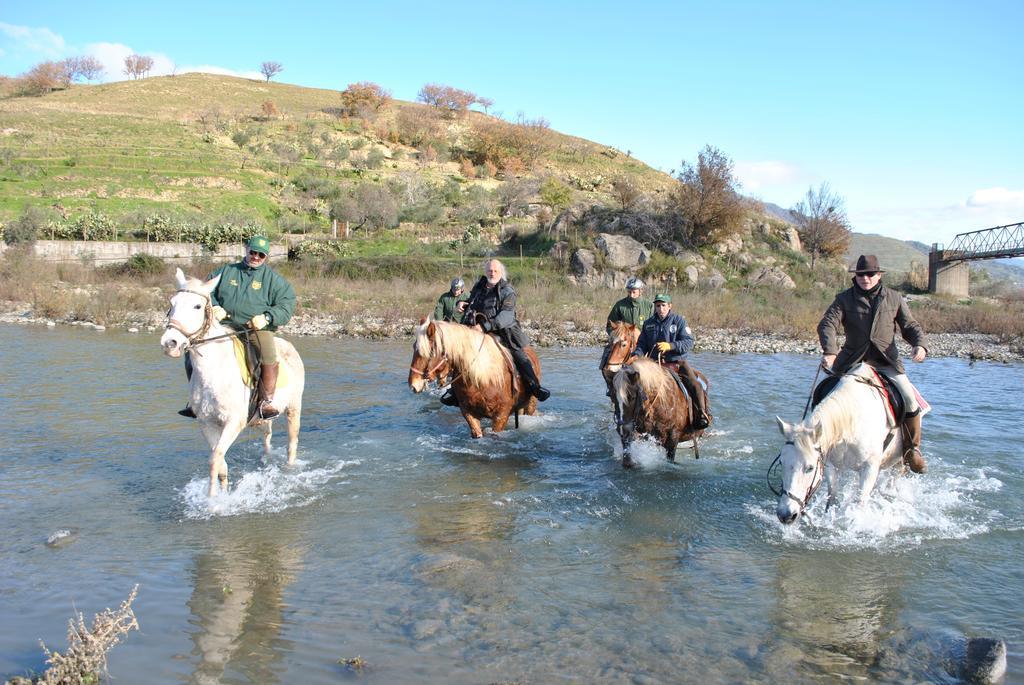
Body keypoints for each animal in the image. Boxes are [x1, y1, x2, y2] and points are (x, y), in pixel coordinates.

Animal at [159, 266, 303, 497]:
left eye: (197, 306)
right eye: (172, 303)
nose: (169, 343)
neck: (214, 373)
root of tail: (288, 345)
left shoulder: (234, 422)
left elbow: (214, 460)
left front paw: (212, 500)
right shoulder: (206, 423)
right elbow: (220, 462)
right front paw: (223, 492)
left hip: (293, 409)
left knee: (292, 444)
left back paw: (289, 470)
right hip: (262, 419)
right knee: (267, 436)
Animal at [407, 317, 540, 438]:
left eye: (429, 352)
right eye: (413, 347)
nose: (413, 384)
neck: (482, 379)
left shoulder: (501, 415)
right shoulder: (469, 412)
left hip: (530, 404)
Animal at [770, 362, 909, 524]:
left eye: (810, 468)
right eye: (781, 463)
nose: (786, 515)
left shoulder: (870, 468)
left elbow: (859, 502)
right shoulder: (830, 465)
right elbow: (832, 495)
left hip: (898, 460)